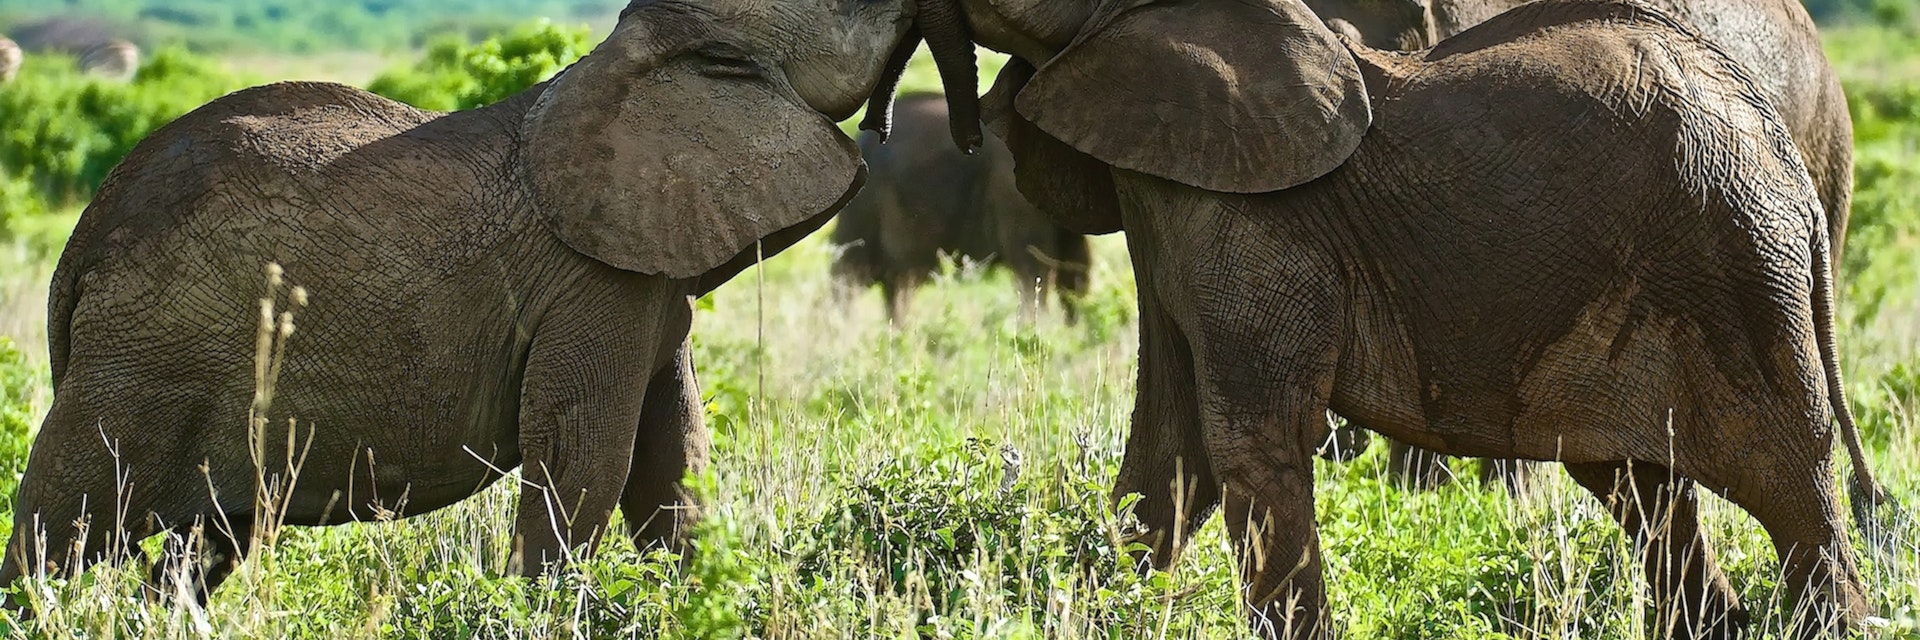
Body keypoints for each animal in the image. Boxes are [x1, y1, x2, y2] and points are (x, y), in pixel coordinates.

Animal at [1, 0, 981, 603]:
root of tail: (79, 250)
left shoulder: (650, 271)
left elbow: (674, 466)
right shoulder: (594, 282)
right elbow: (585, 463)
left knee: (201, 550)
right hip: (140, 358)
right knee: (60, 525)